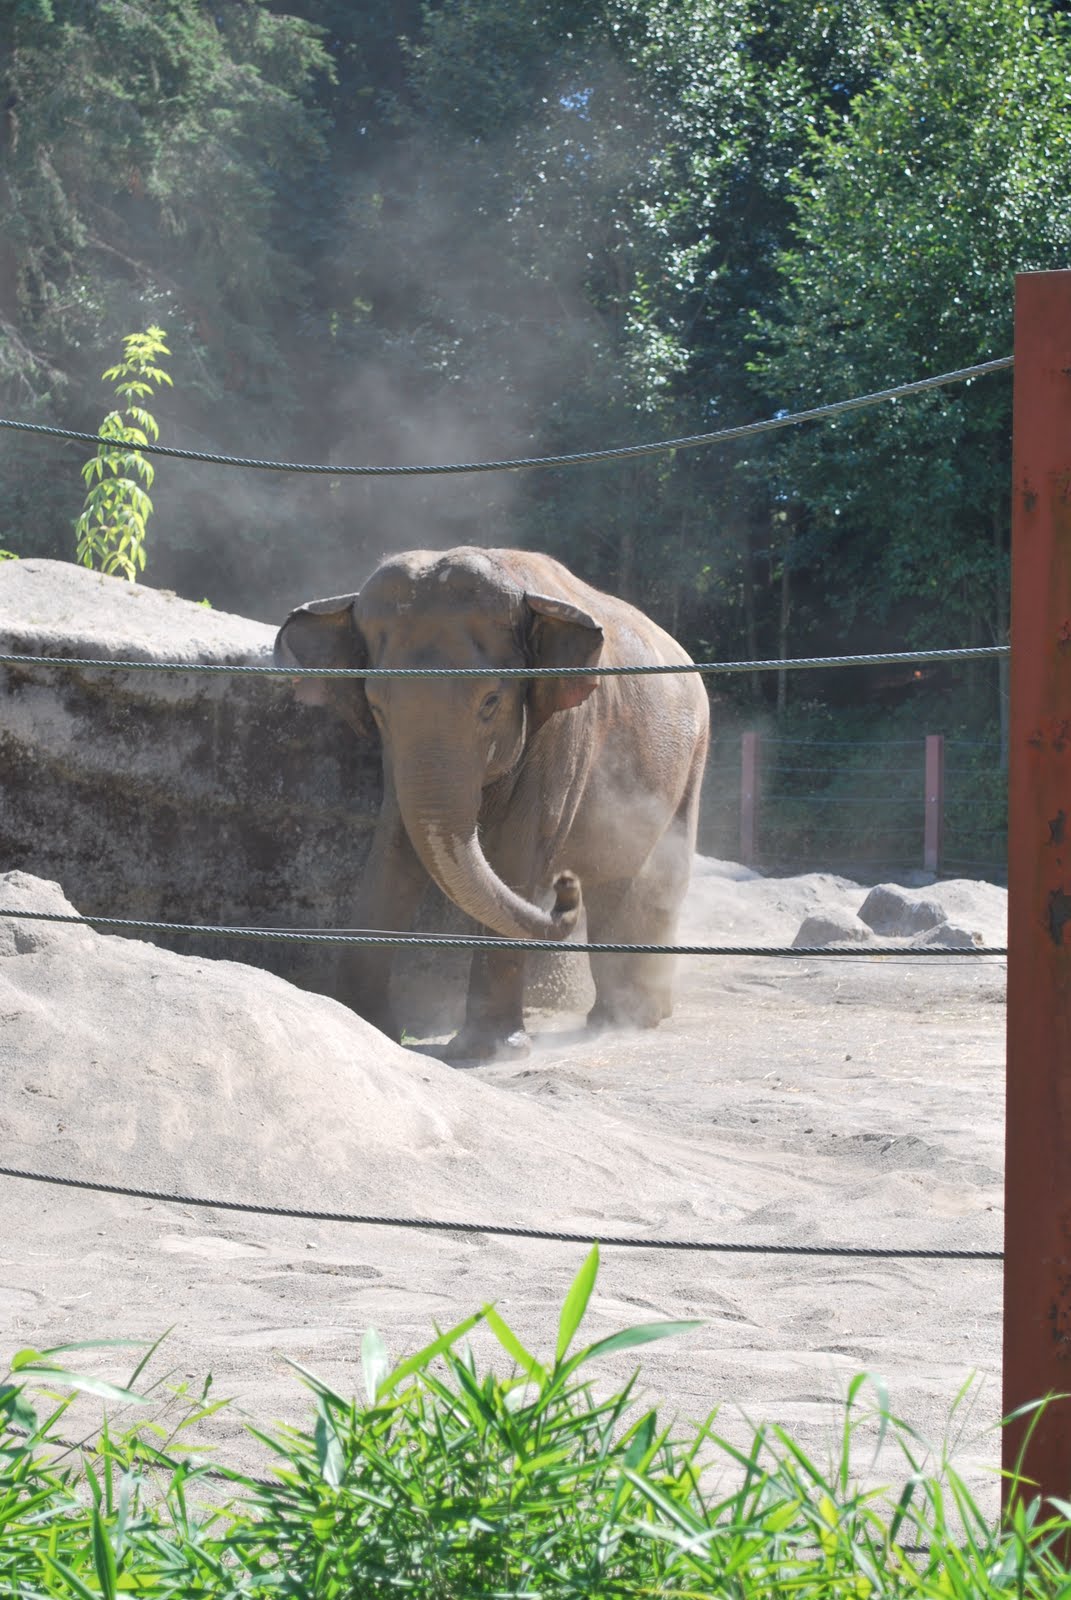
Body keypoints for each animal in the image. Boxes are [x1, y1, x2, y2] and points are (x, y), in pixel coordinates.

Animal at [274, 546, 709, 1062]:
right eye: (377, 708)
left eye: (490, 702)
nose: (565, 888)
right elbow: (395, 848)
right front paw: (365, 1025)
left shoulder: (567, 727)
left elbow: (518, 848)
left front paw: (487, 1051)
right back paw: (616, 1015)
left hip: (694, 754)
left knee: (658, 875)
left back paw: (634, 1017)